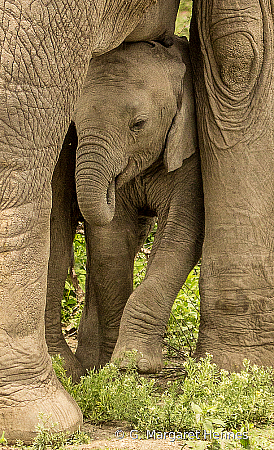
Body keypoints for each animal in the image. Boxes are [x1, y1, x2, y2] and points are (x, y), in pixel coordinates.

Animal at [45, 37, 203, 378]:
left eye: (138, 124)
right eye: (74, 127)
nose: (108, 189)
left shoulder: (191, 153)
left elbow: (181, 233)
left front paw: (135, 364)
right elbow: (112, 243)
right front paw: (111, 365)